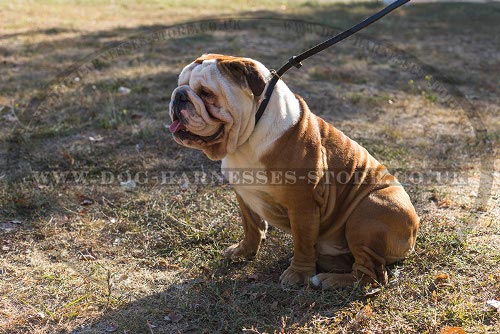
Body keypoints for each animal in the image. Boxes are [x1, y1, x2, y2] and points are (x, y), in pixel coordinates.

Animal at [168, 54, 418, 290]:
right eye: (180, 84)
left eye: (206, 93)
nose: (179, 95)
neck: (248, 136)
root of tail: (414, 230)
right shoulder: (243, 195)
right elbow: (251, 226)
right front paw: (243, 252)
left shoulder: (302, 204)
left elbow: (303, 242)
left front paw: (298, 274)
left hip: (367, 213)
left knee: (372, 276)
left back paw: (329, 280)